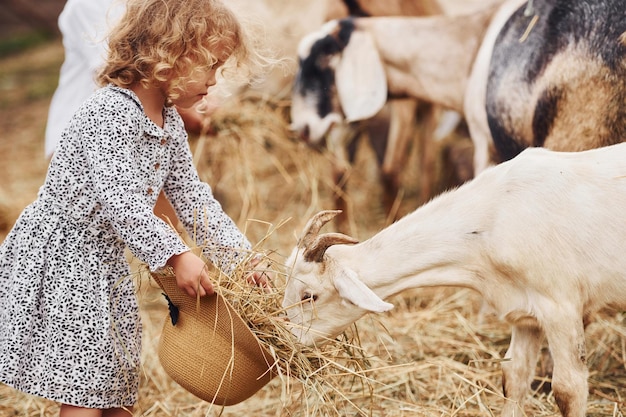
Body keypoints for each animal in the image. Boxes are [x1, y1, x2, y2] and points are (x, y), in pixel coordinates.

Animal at [282, 141, 624, 414]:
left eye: (309, 296)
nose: (284, 344)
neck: (494, 218)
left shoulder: (560, 307)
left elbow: (568, 390)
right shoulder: (524, 314)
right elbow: (513, 379)